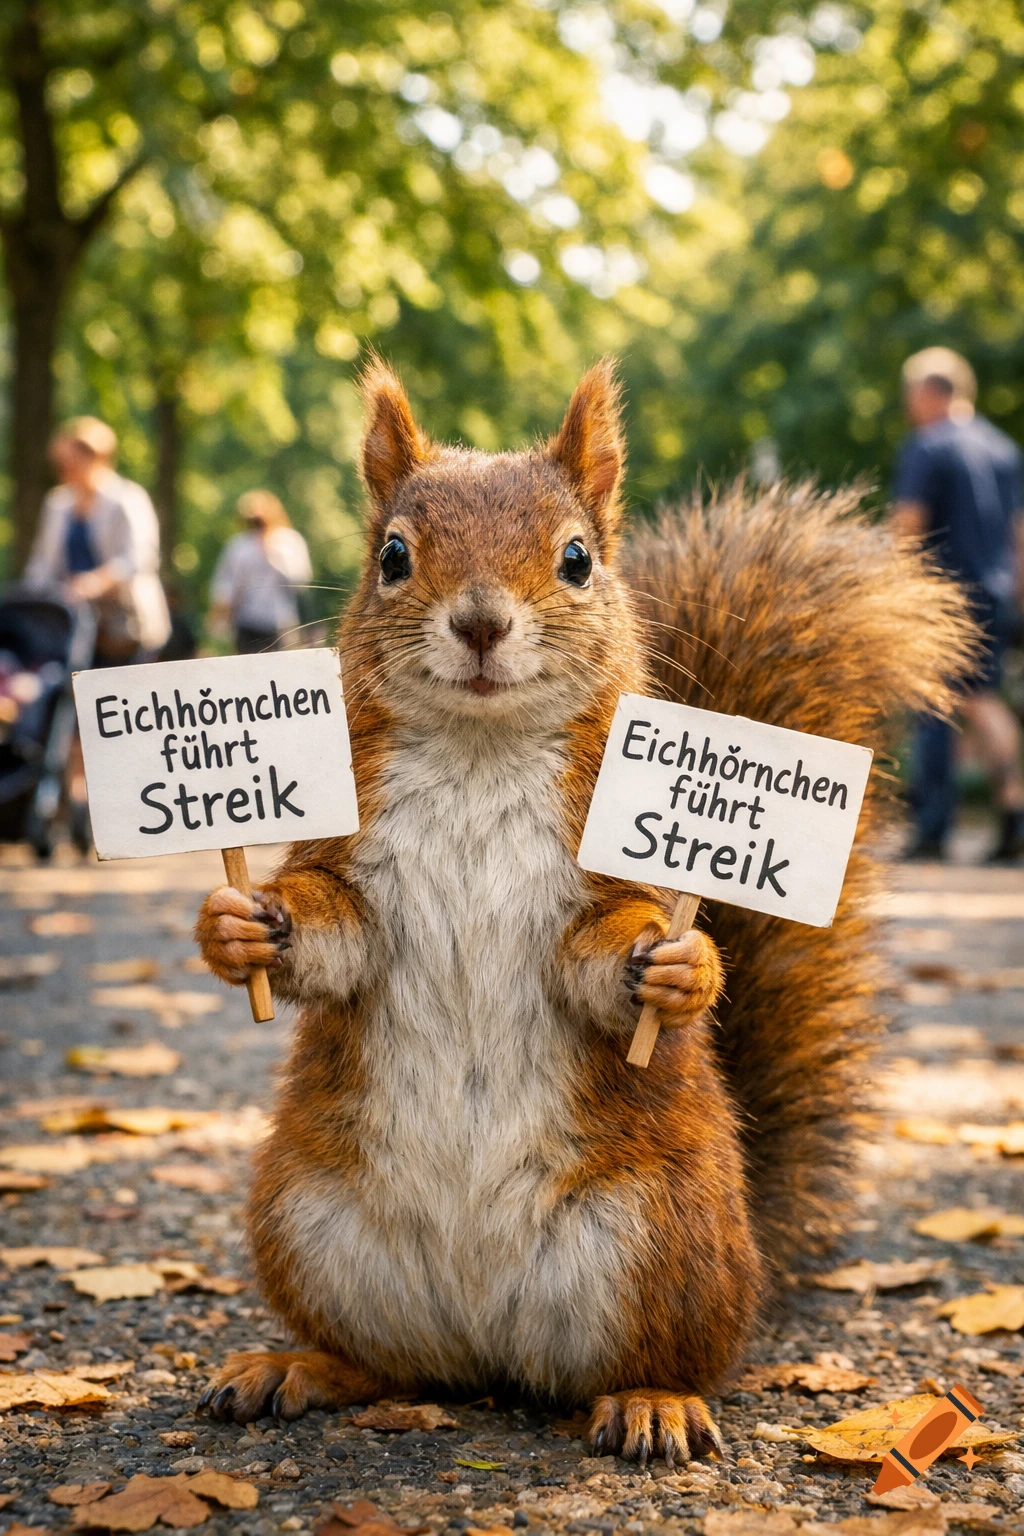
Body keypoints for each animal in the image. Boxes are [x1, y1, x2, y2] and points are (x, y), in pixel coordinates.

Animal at [195, 361, 973, 1464]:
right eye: (392, 555)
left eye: (576, 559)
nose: (481, 623)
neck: (478, 754)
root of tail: (482, 1346)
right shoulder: (352, 863)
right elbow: (333, 934)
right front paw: (239, 921)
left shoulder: (601, 884)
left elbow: (601, 958)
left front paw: (679, 968)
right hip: (305, 1216)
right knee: (388, 1365)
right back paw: (297, 1367)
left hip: (660, 1237)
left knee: (664, 1361)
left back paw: (654, 1401)